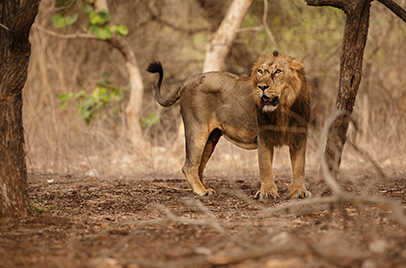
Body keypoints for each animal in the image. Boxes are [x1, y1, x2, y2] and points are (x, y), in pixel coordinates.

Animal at [146, 50, 310, 199]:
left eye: (278, 71)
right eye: (260, 71)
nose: (262, 87)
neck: (283, 109)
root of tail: (186, 82)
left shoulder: (299, 138)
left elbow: (299, 167)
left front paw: (299, 192)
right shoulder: (264, 137)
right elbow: (266, 168)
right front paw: (267, 193)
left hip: (211, 138)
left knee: (199, 167)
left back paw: (205, 188)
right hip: (197, 130)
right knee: (189, 166)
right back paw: (201, 191)